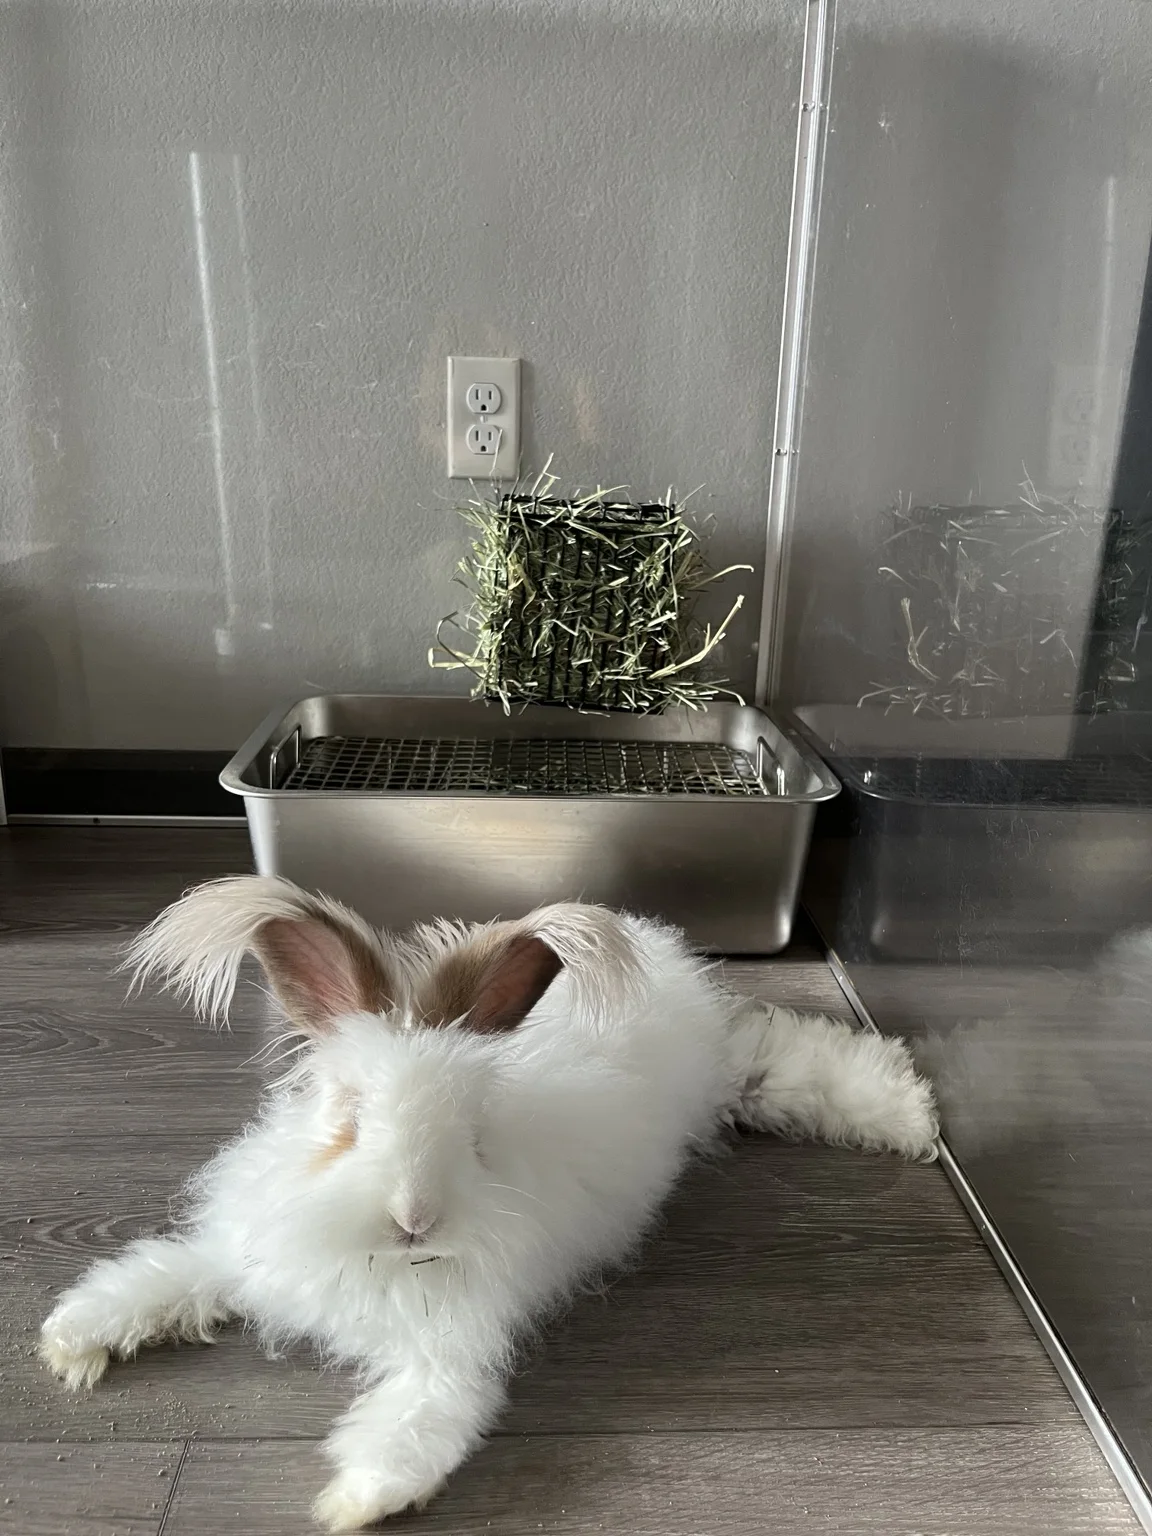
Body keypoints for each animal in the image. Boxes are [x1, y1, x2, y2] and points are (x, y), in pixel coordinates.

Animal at [39, 877, 937, 1533]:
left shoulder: (448, 1354)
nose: (414, 1221)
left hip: (731, 1074)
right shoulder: (245, 1253)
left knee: (787, 1056)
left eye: (472, 1136)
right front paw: (70, 1341)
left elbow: (413, 1426)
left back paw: (913, 1115)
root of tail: (653, 943)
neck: (379, 1265)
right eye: (348, 1119)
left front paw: (355, 1502)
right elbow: (162, 1275)